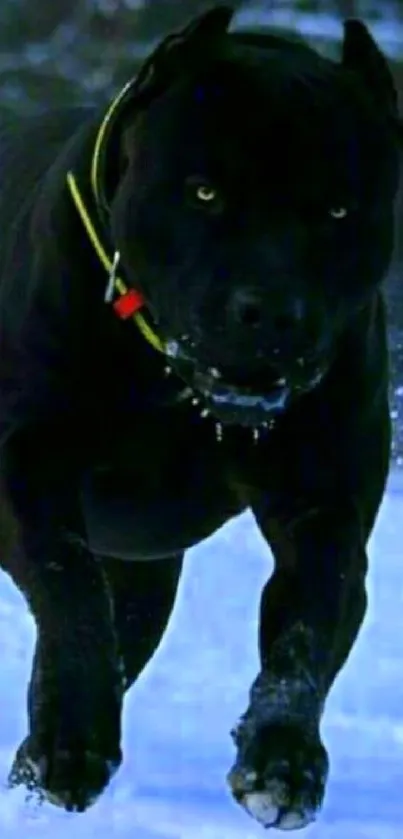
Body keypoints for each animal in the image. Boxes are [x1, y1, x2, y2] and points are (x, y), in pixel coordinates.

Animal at [0, 4, 400, 832]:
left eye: (338, 209)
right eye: (205, 192)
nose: (271, 310)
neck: (174, 390)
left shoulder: (324, 511)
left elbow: (306, 630)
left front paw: (281, 761)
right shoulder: (26, 463)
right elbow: (69, 586)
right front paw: (74, 743)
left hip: (147, 577)